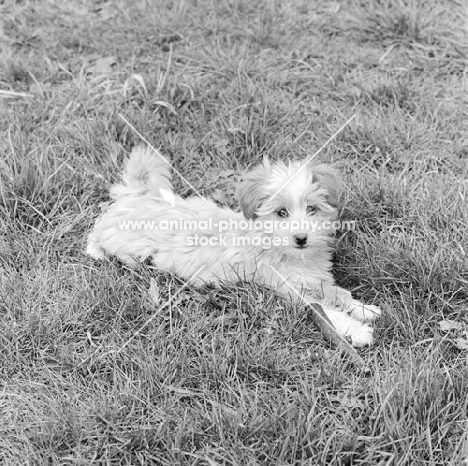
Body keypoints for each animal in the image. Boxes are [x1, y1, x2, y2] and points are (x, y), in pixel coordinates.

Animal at [88, 146, 380, 346]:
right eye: (281, 213)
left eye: (312, 209)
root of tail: (138, 194)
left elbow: (337, 294)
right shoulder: (290, 291)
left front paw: (363, 309)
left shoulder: (315, 278)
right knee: (99, 230)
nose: (301, 238)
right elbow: (327, 311)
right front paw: (356, 330)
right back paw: (96, 250)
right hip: (126, 241)